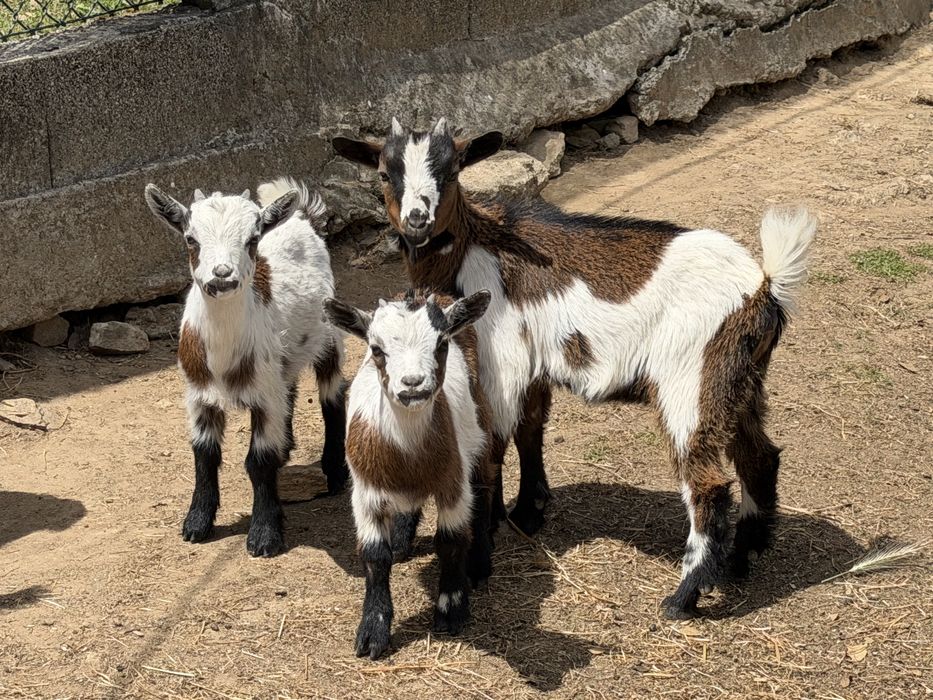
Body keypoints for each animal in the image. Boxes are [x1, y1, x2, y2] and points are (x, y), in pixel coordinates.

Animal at [144, 177, 349, 558]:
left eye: (252, 240)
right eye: (190, 238)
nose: (222, 276)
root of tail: (302, 218)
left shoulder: (265, 400)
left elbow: (259, 460)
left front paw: (265, 535)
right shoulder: (198, 395)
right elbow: (204, 454)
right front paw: (196, 523)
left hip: (328, 334)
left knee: (333, 395)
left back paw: (334, 470)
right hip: (281, 363)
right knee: (290, 387)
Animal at [324, 289, 495, 659]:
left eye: (441, 344)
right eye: (376, 349)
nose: (413, 384)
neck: (408, 454)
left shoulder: (453, 484)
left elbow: (451, 540)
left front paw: (451, 609)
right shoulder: (365, 492)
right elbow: (375, 555)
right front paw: (373, 630)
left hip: (480, 427)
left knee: (487, 482)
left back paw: (480, 563)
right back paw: (402, 540)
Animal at [332, 118, 817, 618]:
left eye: (452, 172)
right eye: (385, 174)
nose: (417, 220)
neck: (475, 248)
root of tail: (764, 288)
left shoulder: (502, 361)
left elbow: (490, 449)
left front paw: (480, 553)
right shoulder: (533, 367)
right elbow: (530, 430)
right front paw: (526, 512)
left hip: (693, 379)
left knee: (710, 484)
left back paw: (684, 596)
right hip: (740, 382)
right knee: (760, 456)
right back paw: (744, 557)